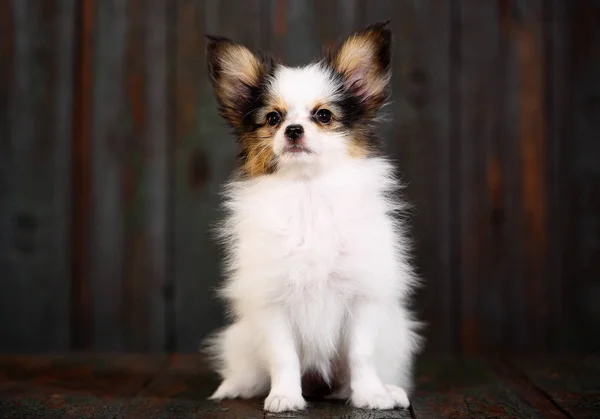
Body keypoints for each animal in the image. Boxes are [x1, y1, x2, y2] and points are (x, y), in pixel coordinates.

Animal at [205, 20, 422, 414]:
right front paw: (285, 397)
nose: (293, 130)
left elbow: (361, 354)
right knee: (248, 370)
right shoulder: (273, 302)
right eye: (273, 118)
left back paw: (388, 390)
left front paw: (372, 395)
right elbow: (283, 356)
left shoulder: (362, 297)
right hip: (241, 338)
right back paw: (234, 388)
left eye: (323, 116)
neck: (308, 192)